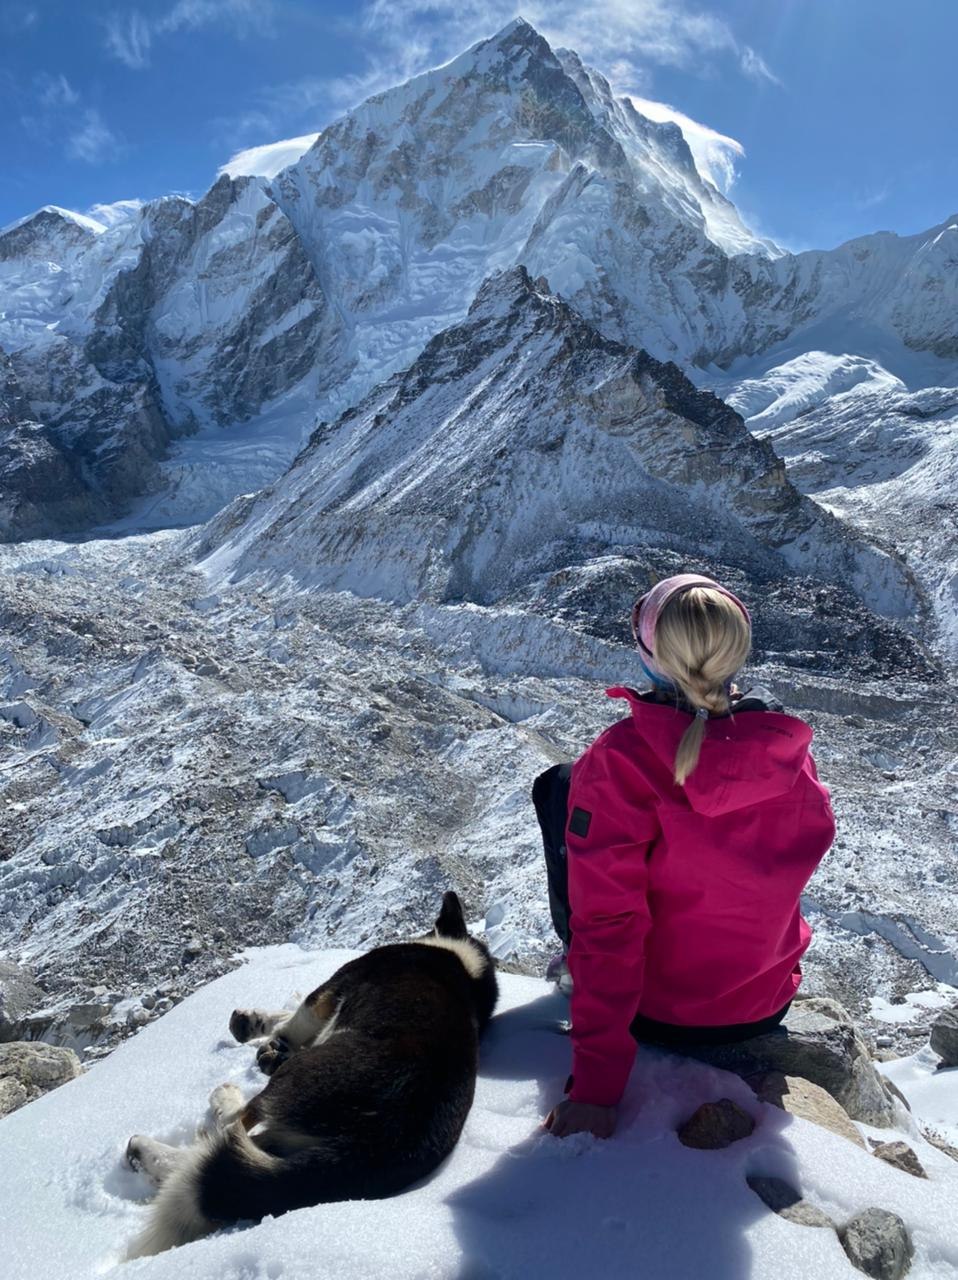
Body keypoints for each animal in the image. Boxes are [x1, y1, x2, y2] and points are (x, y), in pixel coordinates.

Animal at [123, 890, 496, 1259]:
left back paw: (170, 1132)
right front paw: (258, 1029)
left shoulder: (329, 992)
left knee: (229, 1127)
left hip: (292, 1080)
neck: (463, 966)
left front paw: (263, 1032)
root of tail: (383, 1138)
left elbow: (292, 1021)